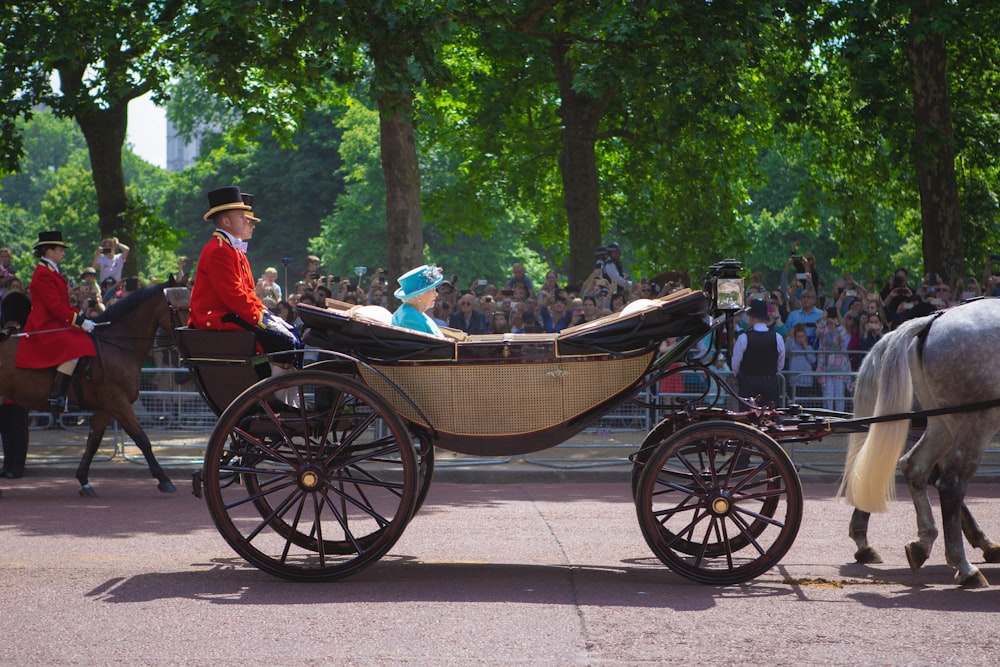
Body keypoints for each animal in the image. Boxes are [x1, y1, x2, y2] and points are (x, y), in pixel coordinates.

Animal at [0, 282, 178, 496]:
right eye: (179, 308)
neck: (118, 346)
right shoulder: (118, 404)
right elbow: (142, 439)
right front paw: (164, 480)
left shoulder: (105, 409)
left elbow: (93, 443)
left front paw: (84, 481)